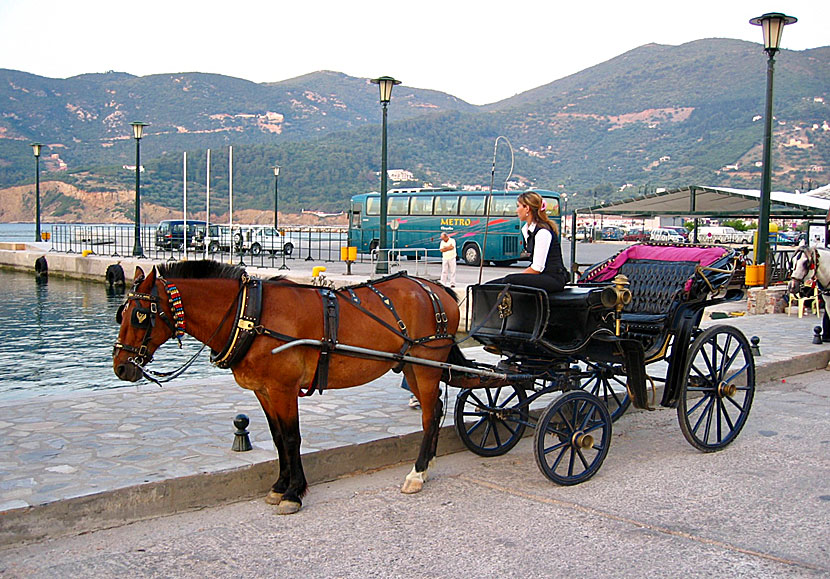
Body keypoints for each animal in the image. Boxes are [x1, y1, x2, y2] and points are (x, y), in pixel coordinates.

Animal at [112, 260, 462, 516]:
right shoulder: (263, 390)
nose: (120, 367)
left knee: (429, 415)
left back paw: (417, 472)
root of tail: (437, 289)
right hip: (411, 367)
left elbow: (292, 437)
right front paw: (280, 486)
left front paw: (294, 493)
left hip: (426, 364)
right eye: (121, 313)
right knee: (436, 409)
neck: (250, 314)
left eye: (140, 315)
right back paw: (427, 465)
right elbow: (279, 437)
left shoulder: (283, 388)